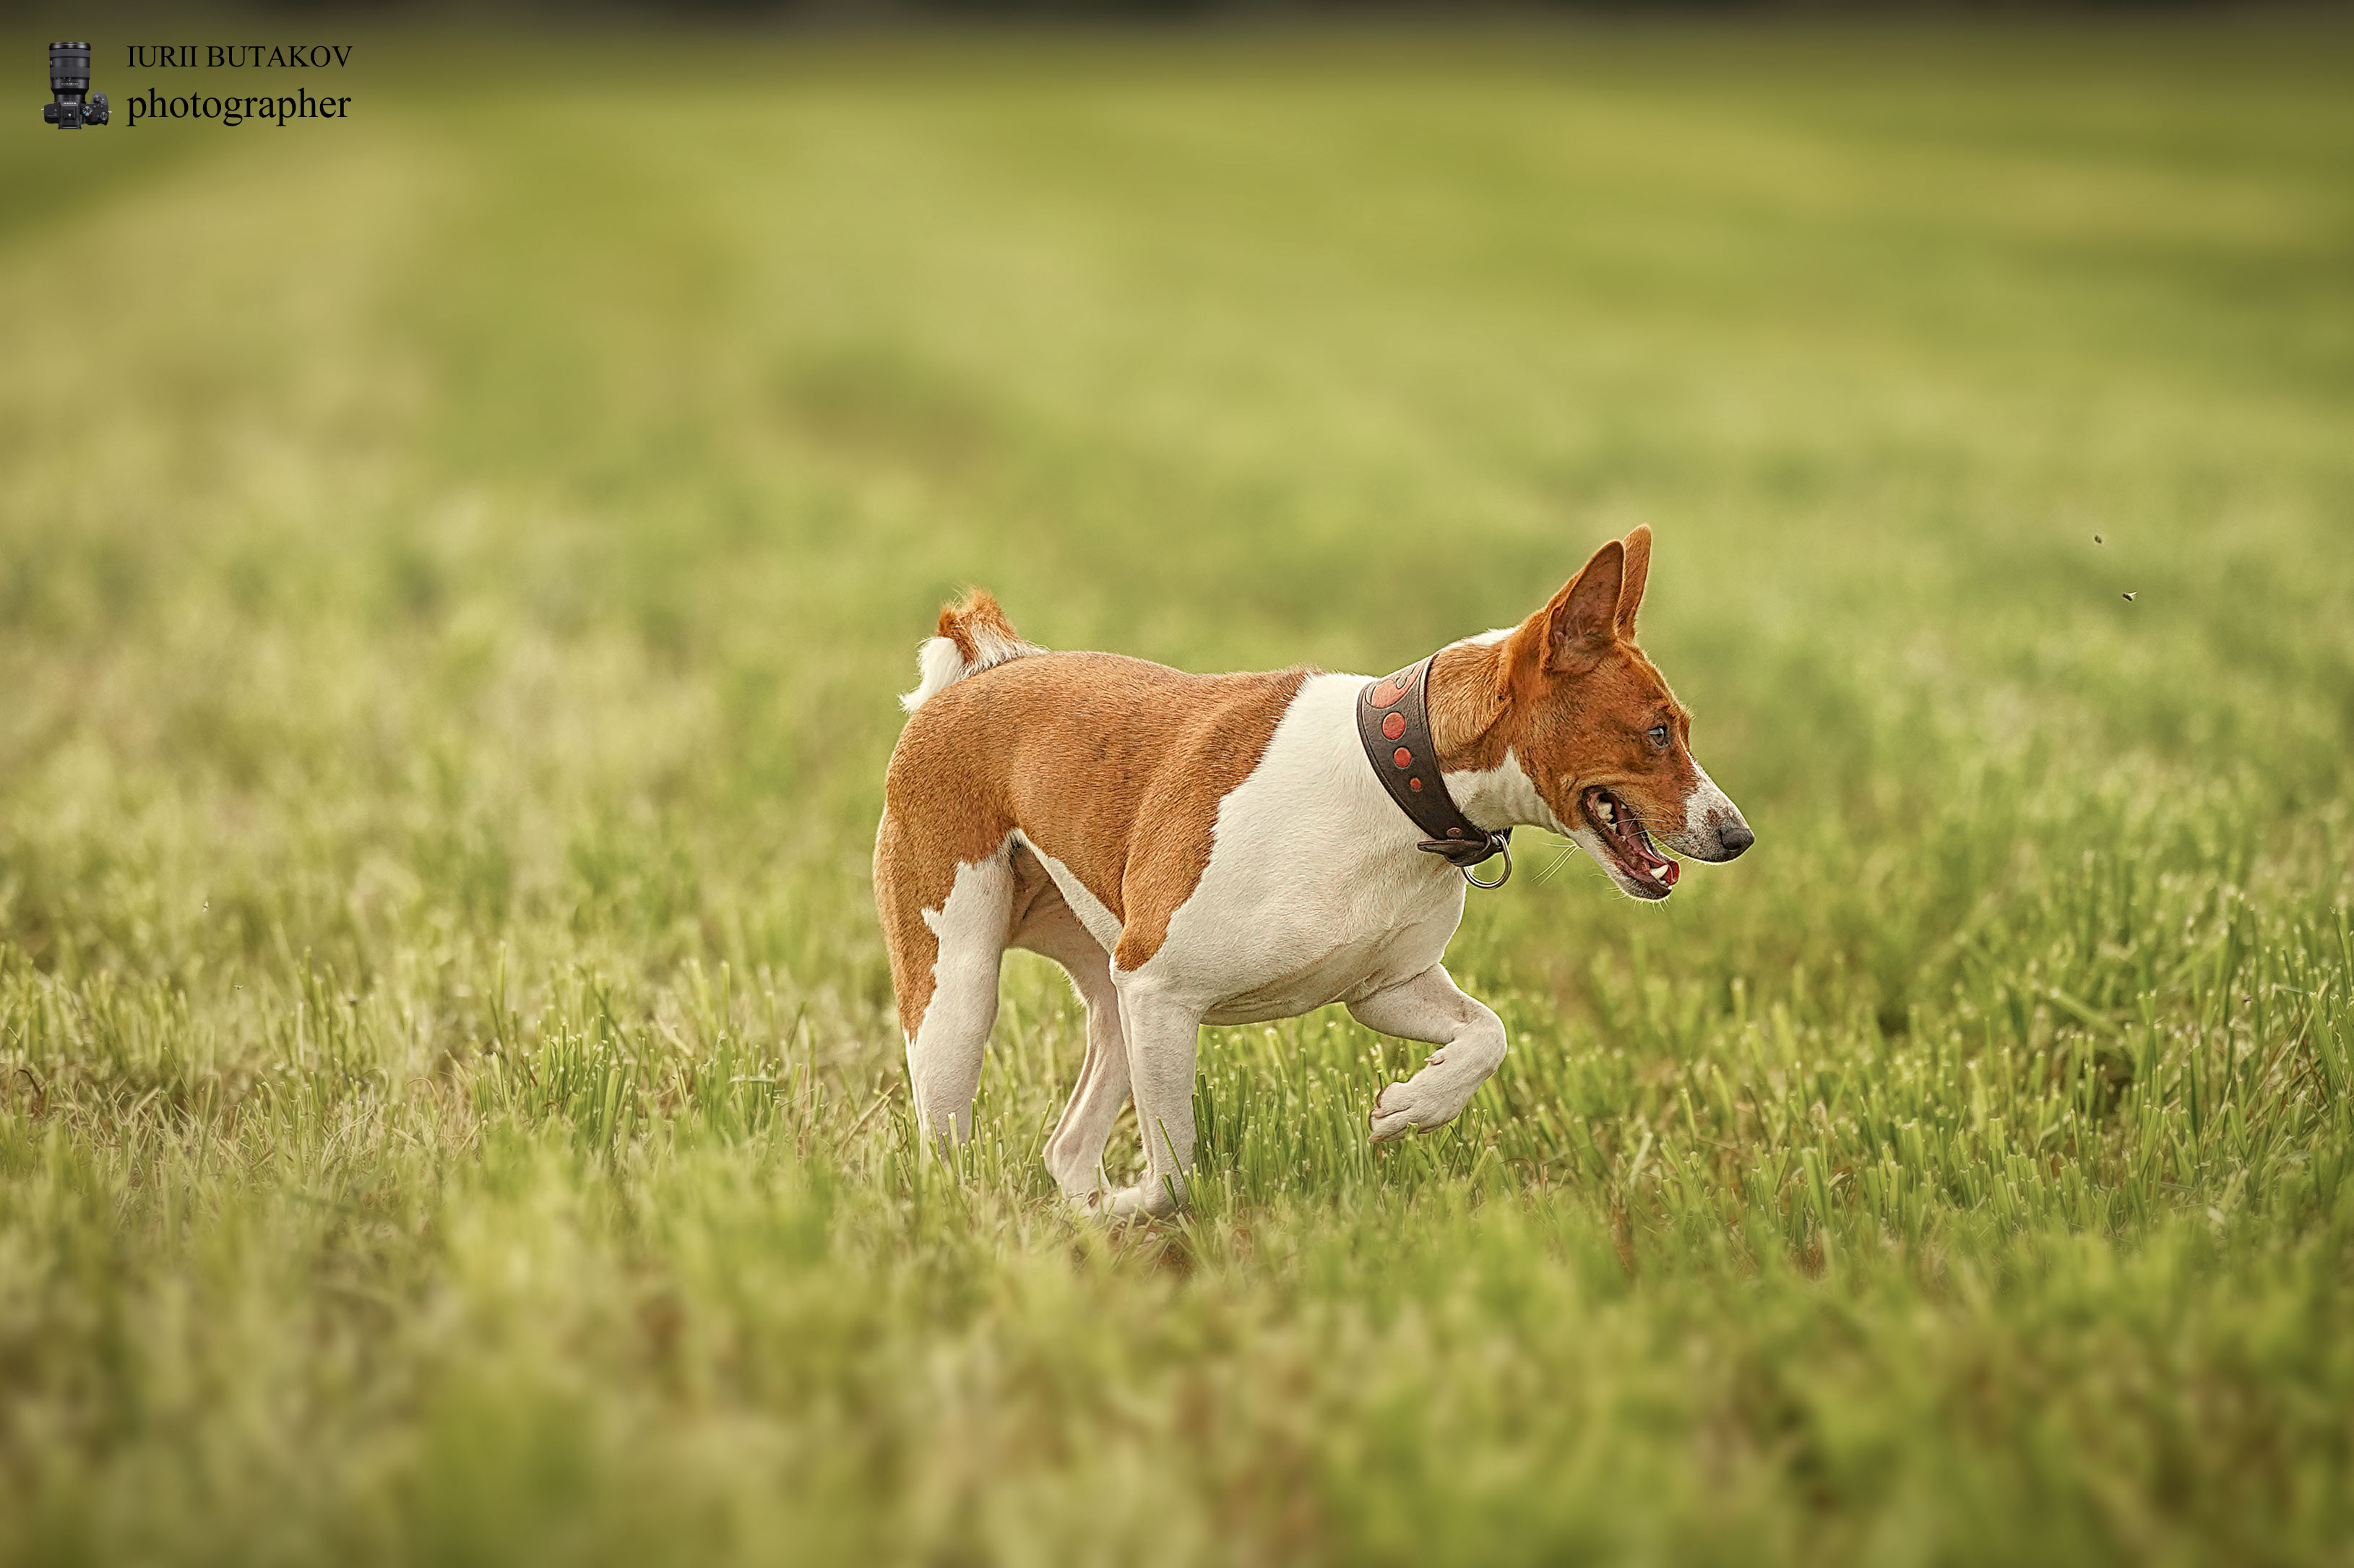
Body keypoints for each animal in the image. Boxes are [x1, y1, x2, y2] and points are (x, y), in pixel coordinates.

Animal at [880, 532, 1751, 1215]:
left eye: (1681, 728)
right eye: (1658, 733)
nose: (1738, 834)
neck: (1394, 782)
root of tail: (978, 674)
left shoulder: (1383, 987)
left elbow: (1489, 1034)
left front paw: (1415, 1106)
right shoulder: (1163, 991)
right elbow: (1174, 1177)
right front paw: (1135, 1207)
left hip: (1112, 1003)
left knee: (1065, 1149)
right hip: (961, 992)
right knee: (948, 1150)